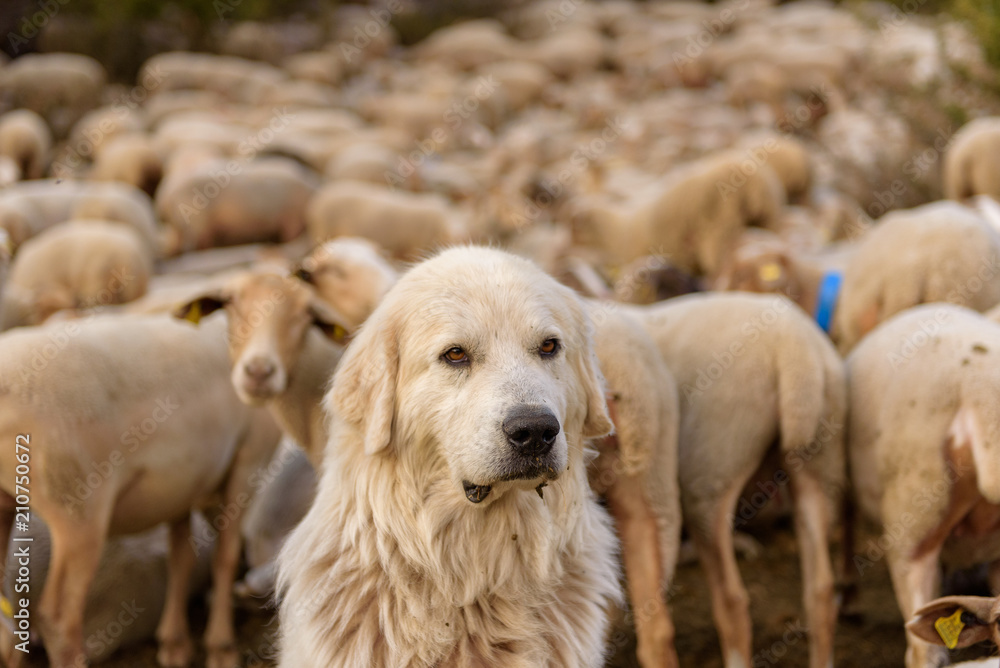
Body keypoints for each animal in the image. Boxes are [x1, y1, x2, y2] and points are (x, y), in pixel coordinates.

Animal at [0, 313, 281, 668]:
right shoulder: (249, 460)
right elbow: (225, 557)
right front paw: (221, 647)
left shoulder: (180, 485)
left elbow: (181, 557)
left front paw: (175, 644)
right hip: (77, 506)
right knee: (58, 617)